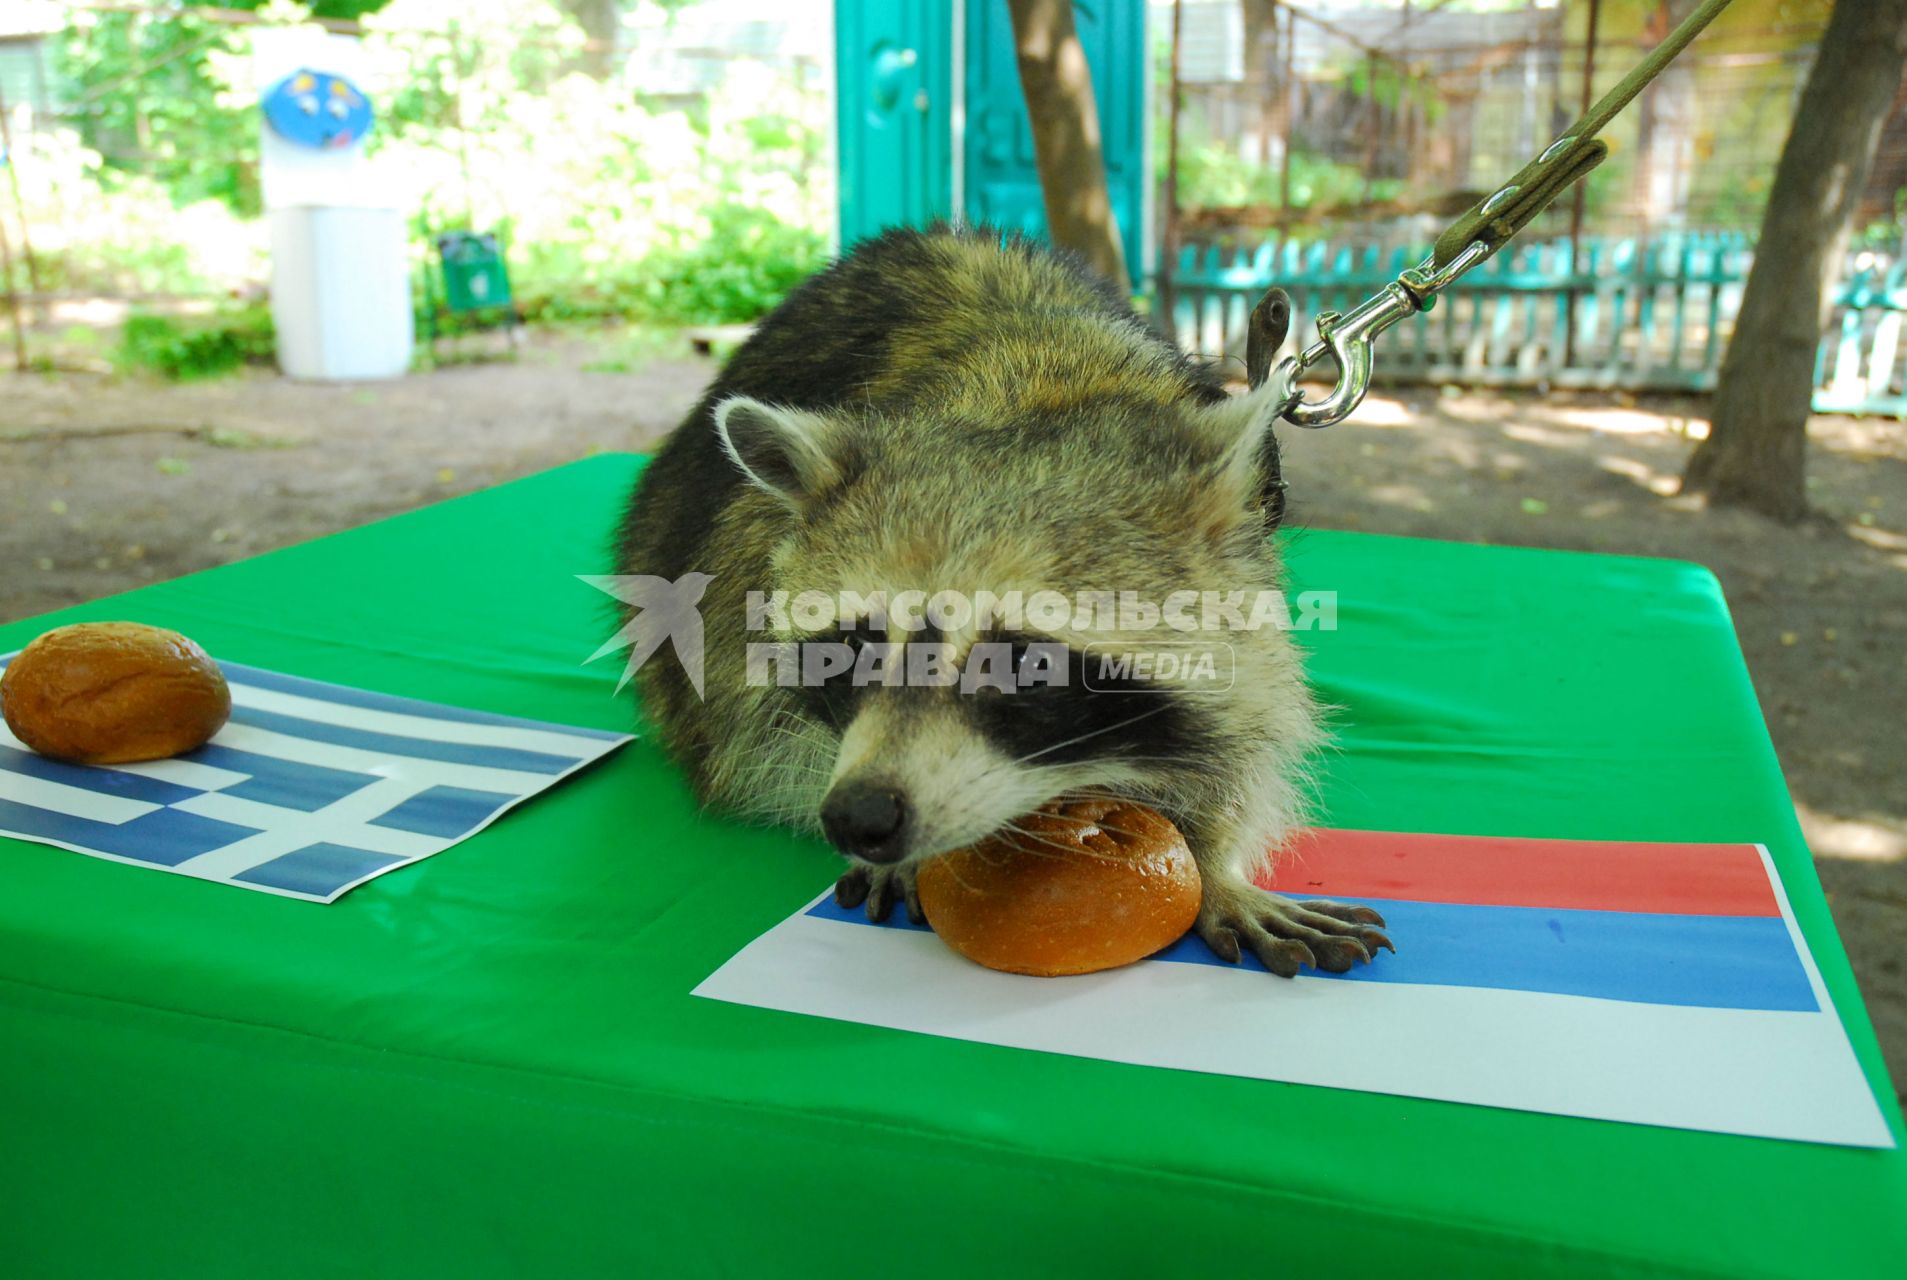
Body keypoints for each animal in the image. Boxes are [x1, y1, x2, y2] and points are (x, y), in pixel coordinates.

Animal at [617, 225, 1395, 976]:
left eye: (1025, 665)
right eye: (854, 647)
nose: (859, 816)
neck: (1036, 393)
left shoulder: (1246, 569)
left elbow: (1249, 720)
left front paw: (1213, 862)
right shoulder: (742, 567)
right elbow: (752, 723)